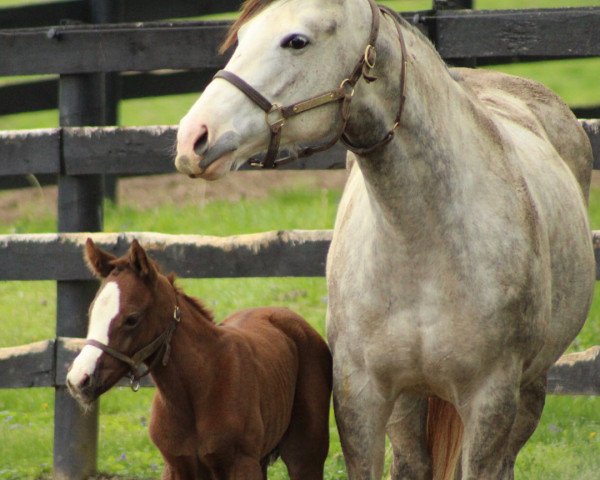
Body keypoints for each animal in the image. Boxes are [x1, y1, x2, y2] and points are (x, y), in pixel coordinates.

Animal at [69, 240, 338, 480]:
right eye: (91, 312)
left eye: (132, 318)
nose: (79, 380)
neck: (197, 389)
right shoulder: (176, 466)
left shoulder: (240, 464)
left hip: (305, 454)